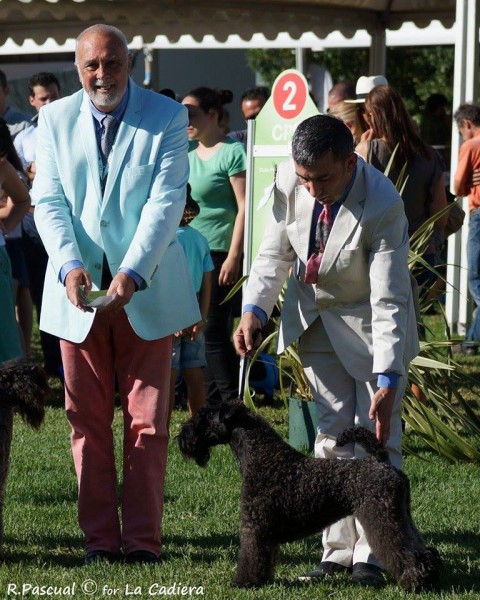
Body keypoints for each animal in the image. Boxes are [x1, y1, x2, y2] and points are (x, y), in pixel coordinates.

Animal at [178, 400, 440, 592]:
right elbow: (266, 557)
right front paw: (263, 580)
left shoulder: (255, 527)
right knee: (420, 547)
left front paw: (244, 582)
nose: (182, 438)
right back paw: (429, 577)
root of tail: (381, 462)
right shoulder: (266, 531)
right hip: (401, 516)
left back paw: (413, 582)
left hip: (381, 518)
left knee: (404, 551)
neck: (263, 457)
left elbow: (251, 555)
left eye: (202, 417)